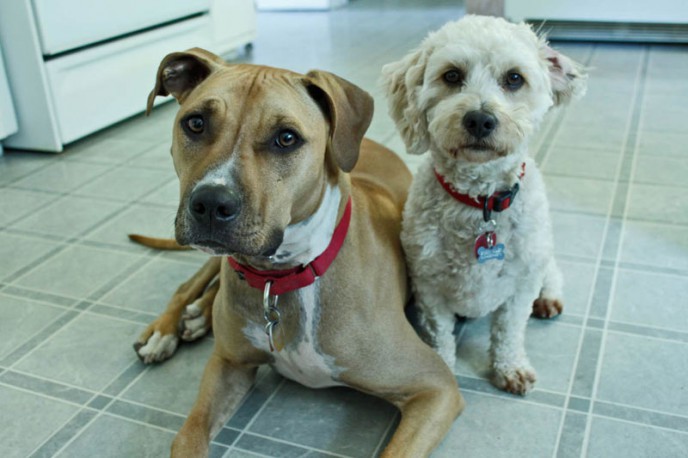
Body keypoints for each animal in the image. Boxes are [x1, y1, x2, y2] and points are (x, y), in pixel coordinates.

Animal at [142, 48, 464, 456]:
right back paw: (167, 329)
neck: (284, 275)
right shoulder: (227, 365)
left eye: (286, 138)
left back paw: (197, 317)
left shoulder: (435, 386)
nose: (211, 203)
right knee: (189, 285)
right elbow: (188, 436)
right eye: (195, 123)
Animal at [382, 14, 584, 394]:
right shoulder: (429, 286)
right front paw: (443, 368)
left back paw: (549, 298)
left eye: (514, 78)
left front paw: (510, 367)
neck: (480, 203)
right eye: (451, 75)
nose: (479, 118)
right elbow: (440, 335)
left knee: (553, 272)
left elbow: (509, 332)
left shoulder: (520, 285)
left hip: (541, 256)